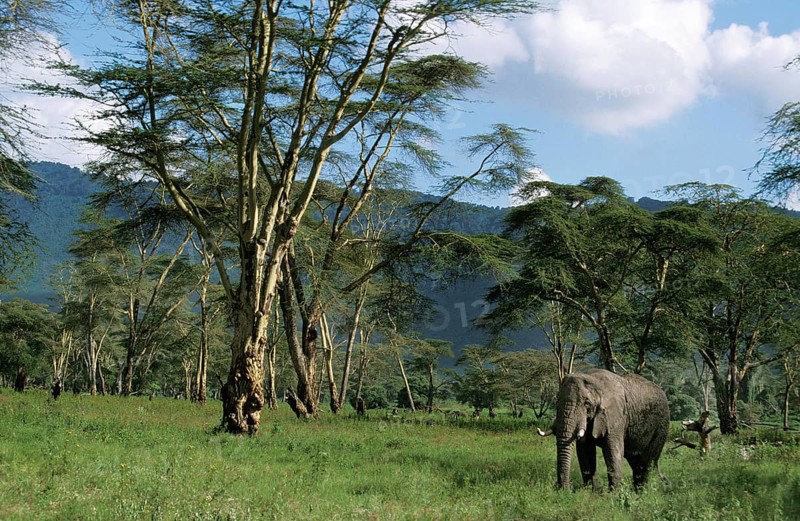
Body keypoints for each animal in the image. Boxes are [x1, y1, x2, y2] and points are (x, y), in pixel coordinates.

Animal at [539, 368, 670, 491]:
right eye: (557, 401)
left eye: (587, 404)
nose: (565, 489)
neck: (594, 379)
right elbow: (585, 450)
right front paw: (591, 492)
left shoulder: (615, 416)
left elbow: (613, 451)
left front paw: (612, 495)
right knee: (636, 462)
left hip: (661, 425)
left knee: (647, 462)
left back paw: (644, 493)